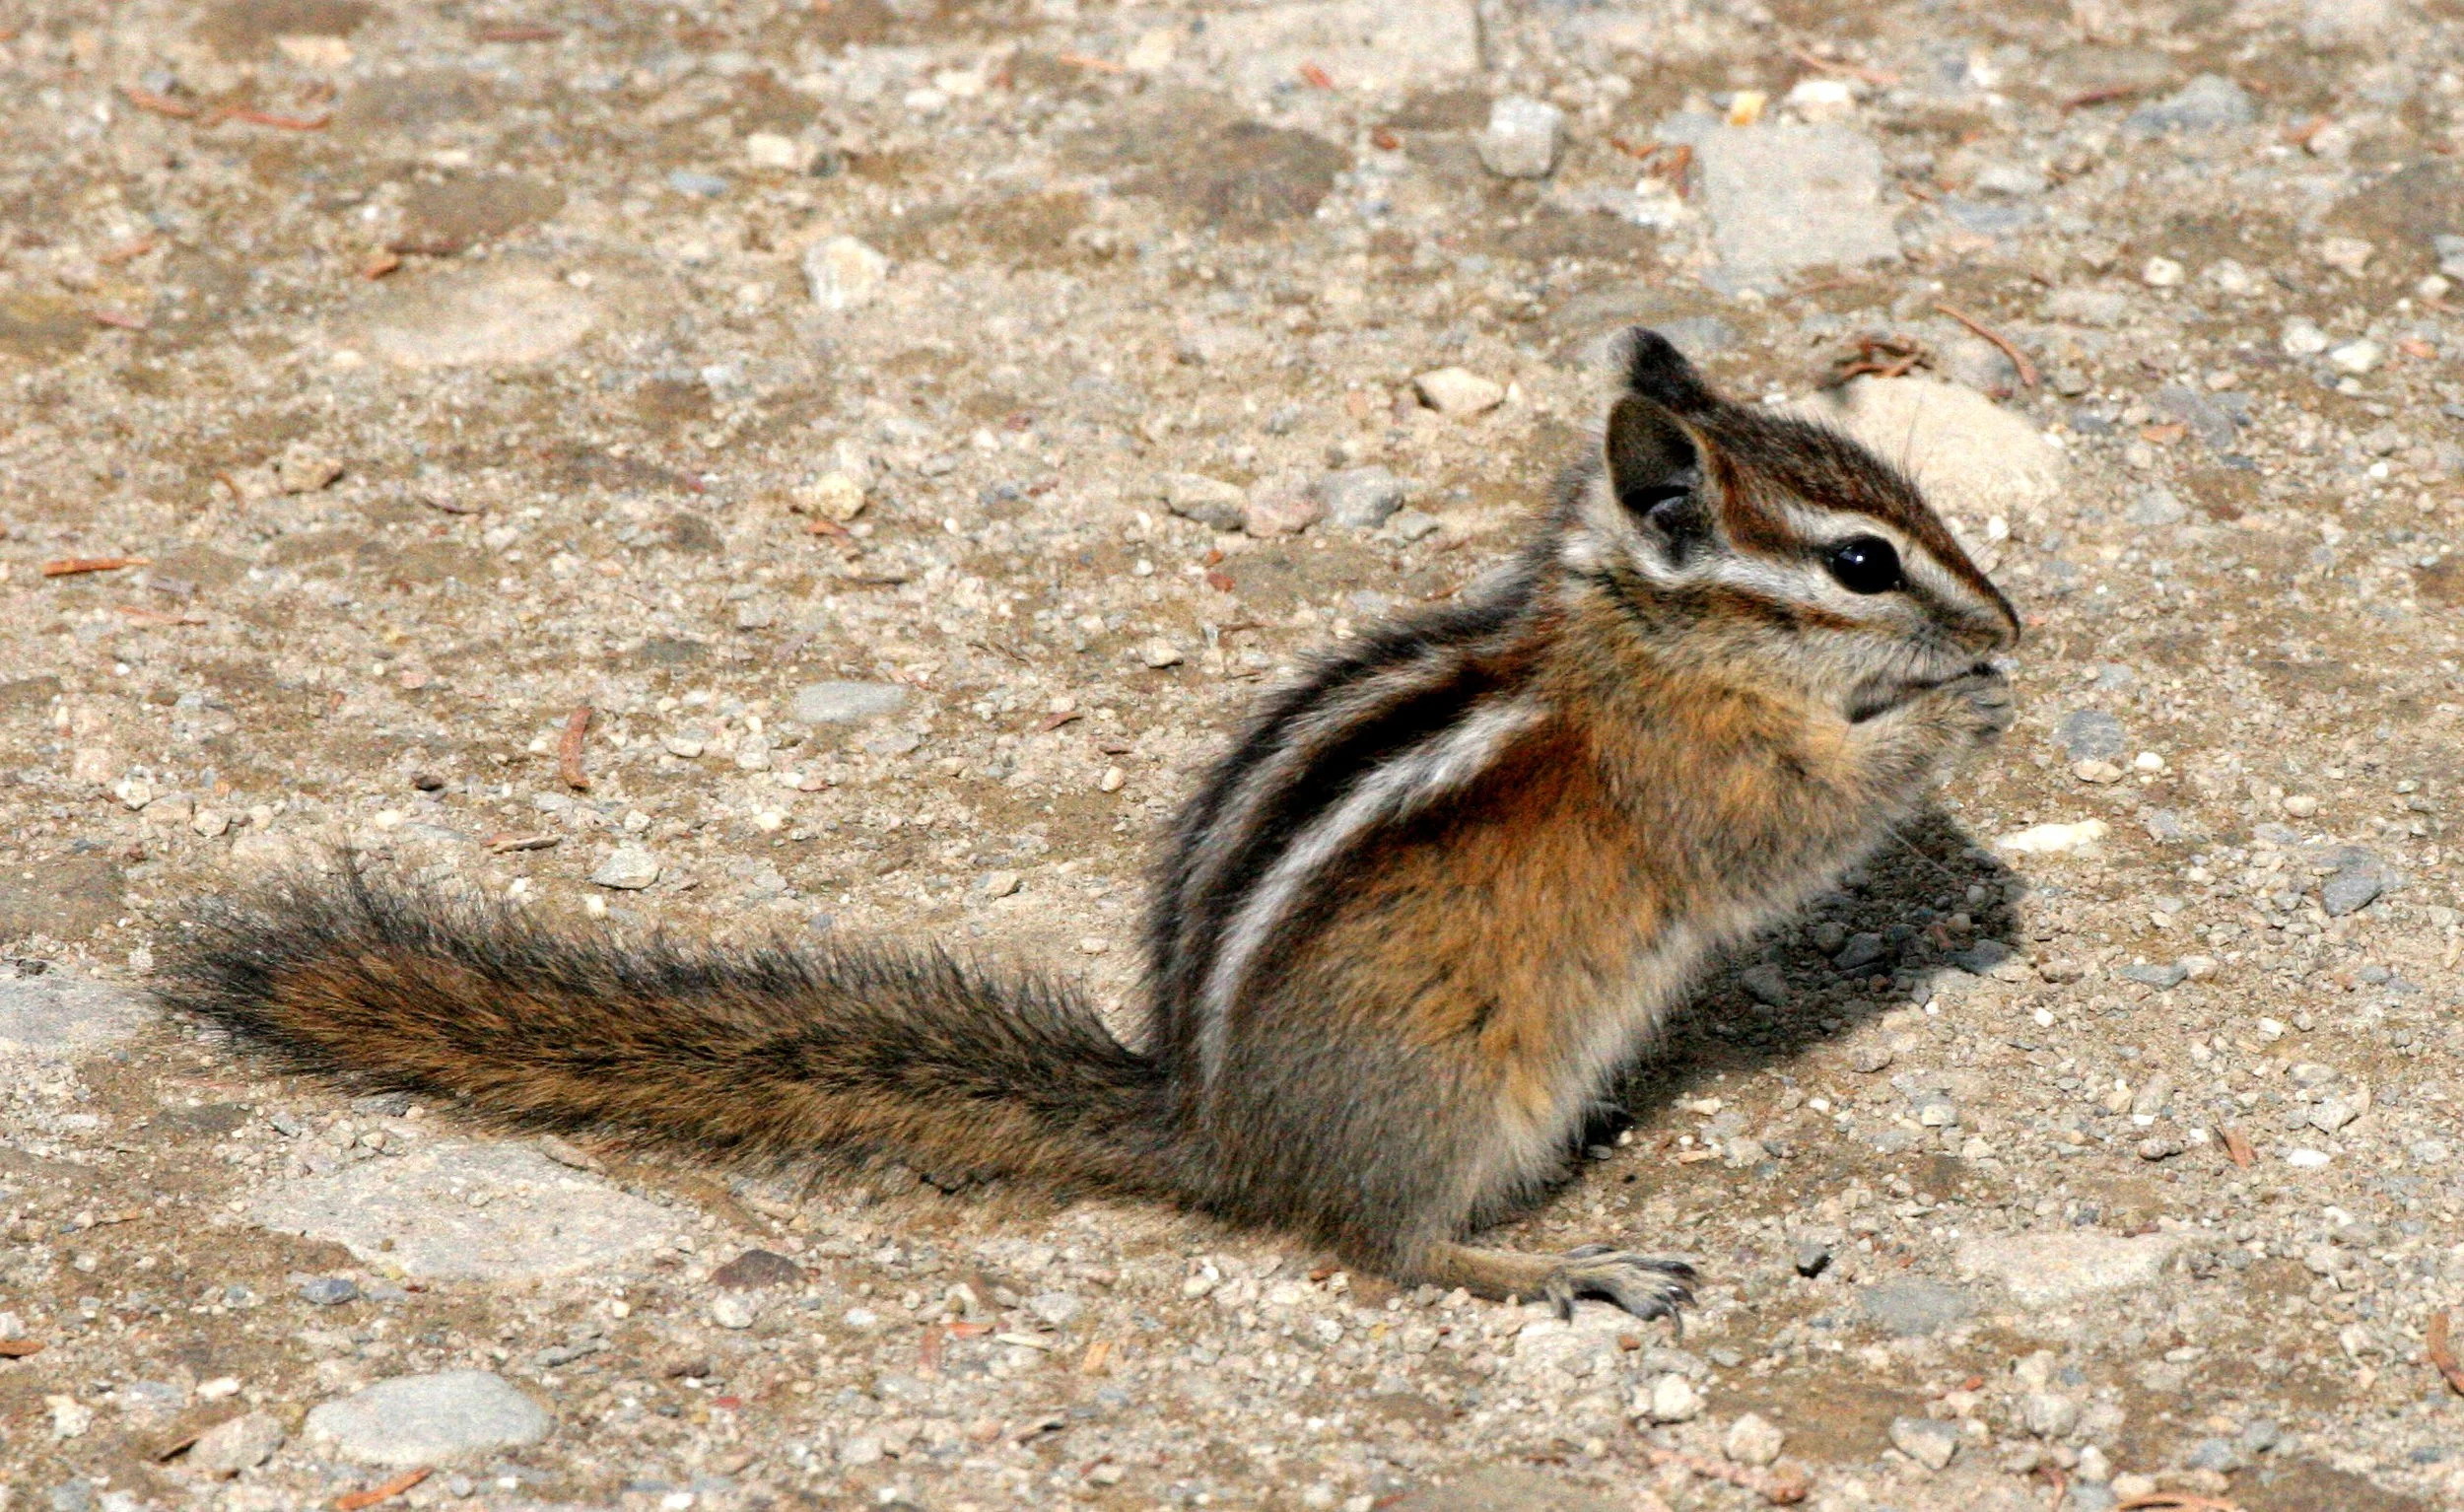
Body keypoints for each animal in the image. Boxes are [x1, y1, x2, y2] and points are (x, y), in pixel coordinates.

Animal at [158, 329, 2018, 1325]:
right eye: (1864, 560)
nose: (2007, 617)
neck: (1642, 629)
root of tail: (1210, 1129)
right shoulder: (1692, 776)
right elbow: (1793, 829)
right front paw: (1954, 716)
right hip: (1448, 1094)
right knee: (1388, 1246)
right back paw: (1568, 1270)